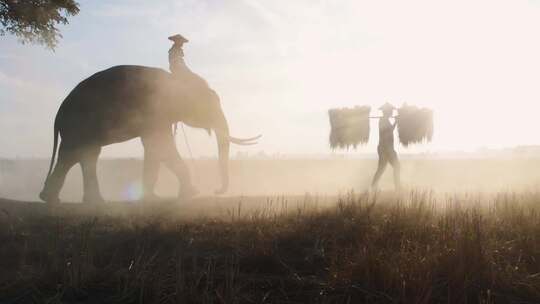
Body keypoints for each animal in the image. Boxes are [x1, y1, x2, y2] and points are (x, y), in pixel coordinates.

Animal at [39, 65, 260, 203]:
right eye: (209, 106)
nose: (215, 191)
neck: (175, 81)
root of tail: (58, 114)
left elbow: (156, 149)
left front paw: (154, 198)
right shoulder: (156, 111)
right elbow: (161, 147)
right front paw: (192, 193)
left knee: (86, 155)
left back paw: (85, 200)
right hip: (78, 125)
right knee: (74, 155)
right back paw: (53, 199)